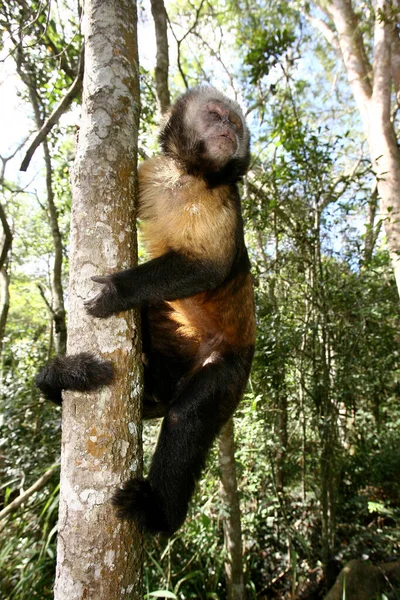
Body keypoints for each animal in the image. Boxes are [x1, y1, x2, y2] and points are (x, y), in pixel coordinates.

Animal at [37, 84, 256, 536]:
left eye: (234, 123)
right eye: (216, 115)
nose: (229, 130)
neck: (189, 174)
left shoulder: (222, 201)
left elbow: (208, 268)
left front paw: (117, 291)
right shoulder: (153, 171)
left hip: (231, 365)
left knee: (186, 416)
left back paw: (159, 515)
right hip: (176, 353)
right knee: (154, 328)